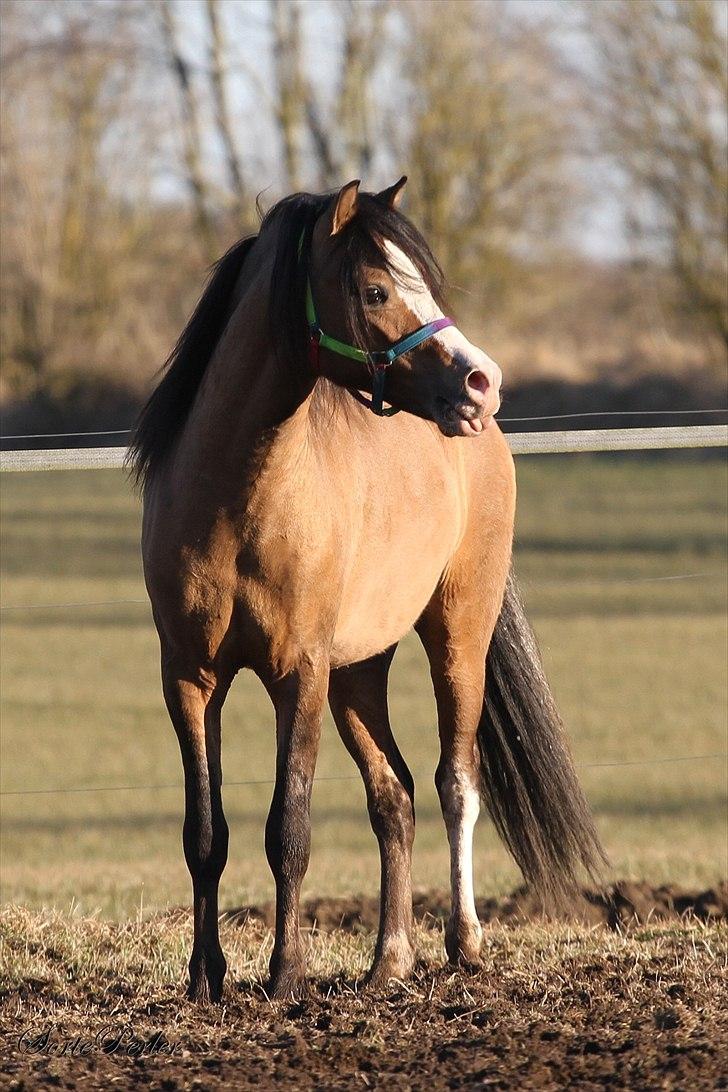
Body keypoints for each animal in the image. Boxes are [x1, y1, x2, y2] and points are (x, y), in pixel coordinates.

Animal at [128, 174, 606, 1000]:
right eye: (378, 289)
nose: (482, 381)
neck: (235, 497)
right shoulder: (189, 678)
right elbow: (205, 832)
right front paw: (205, 979)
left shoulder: (299, 674)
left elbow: (289, 826)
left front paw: (286, 974)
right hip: (360, 669)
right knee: (395, 794)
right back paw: (389, 960)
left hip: (457, 637)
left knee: (455, 782)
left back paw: (463, 943)